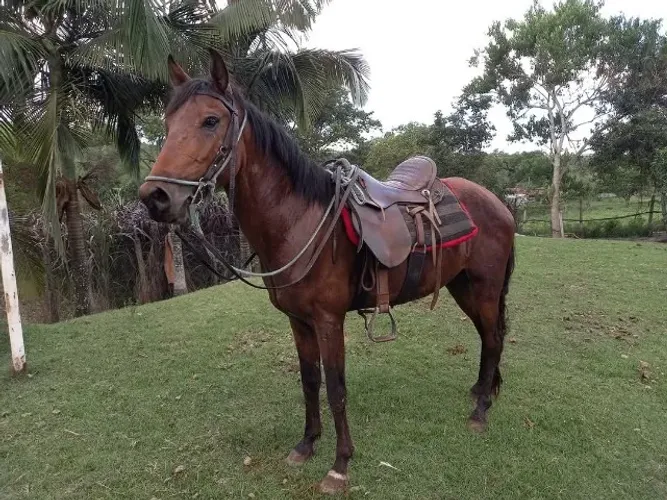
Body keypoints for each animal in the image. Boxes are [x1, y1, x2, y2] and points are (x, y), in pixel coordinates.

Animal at [139, 49, 516, 495]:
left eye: (210, 121)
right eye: (167, 124)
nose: (154, 196)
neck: (300, 222)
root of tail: (499, 202)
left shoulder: (328, 320)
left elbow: (336, 388)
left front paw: (340, 465)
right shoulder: (299, 321)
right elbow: (309, 381)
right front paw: (306, 444)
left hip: (485, 288)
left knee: (493, 337)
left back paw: (481, 412)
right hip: (464, 287)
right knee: (487, 338)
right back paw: (480, 391)